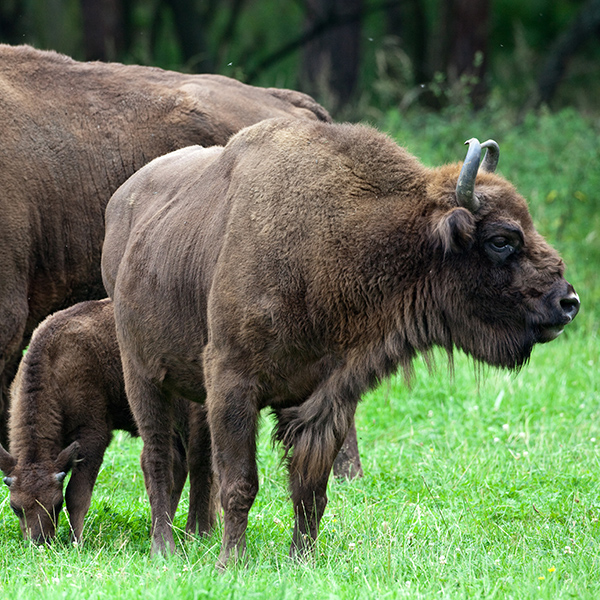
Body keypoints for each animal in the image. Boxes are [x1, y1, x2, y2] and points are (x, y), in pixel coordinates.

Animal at [0, 300, 214, 544]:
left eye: (56, 504)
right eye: (15, 507)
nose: (39, 541)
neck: (53, 361)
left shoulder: (93, 434)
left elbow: (77, 493)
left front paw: (76, 541)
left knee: (200, 463)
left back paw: (199, 533)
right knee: (178, 465)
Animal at [104, 118, 580, 568]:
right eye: (501, 240)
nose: (567, 302)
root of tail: (120, 203)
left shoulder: (327, 397)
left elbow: (310, 489)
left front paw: (302, 559)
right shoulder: (232, 382)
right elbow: (241, 482)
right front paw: (230, 564)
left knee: (194, 457)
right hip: (141, 374)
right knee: (158, 458)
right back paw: (163, 548)